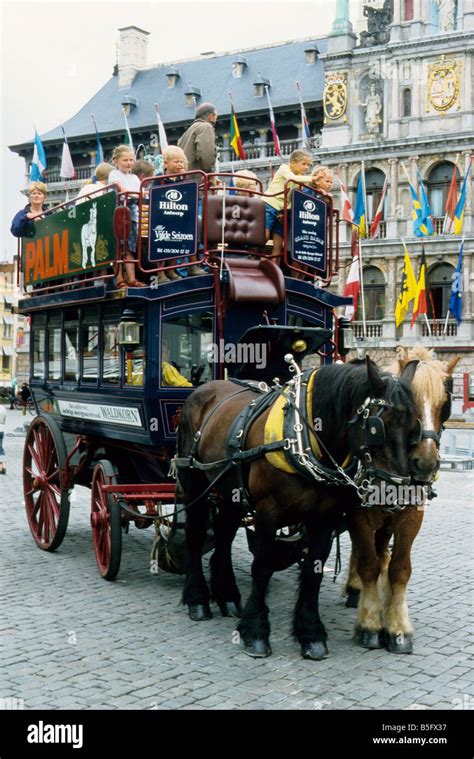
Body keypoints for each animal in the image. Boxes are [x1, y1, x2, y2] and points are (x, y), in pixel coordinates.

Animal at [178, 356, 418, 660]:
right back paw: (197, 599)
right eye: (376, 427)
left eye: (414, 428)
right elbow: (262, 567)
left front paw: (310, 633)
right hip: (194, 480)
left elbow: (313, 570)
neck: (303, 440)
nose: (397, 494)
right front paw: (255, 631)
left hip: (231, 489)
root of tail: (203, 388)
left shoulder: (325, 518)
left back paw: (228, 597)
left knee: (223, 534)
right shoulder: (267, 513)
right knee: (196, 533)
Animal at [342, 348, 462, 652]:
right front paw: (370, 623)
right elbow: (369, 564)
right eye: (411, 405)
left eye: (445, 404)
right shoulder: (359, 515)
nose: (426, 463)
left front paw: (396, 625)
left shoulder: (410, 516)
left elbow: (399, 568)